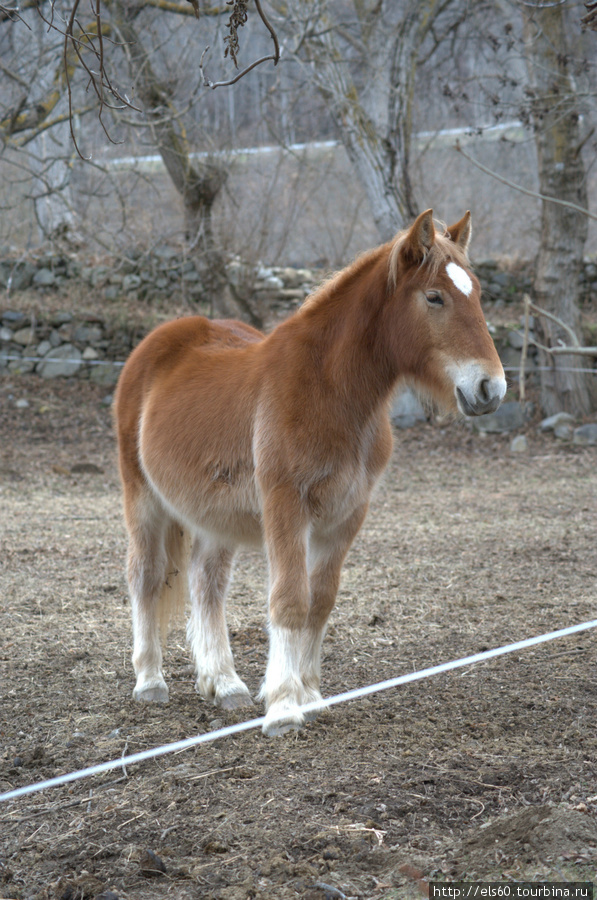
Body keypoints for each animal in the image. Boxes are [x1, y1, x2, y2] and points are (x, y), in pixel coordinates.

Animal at [112, 213, 502, 740]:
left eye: (476, 292)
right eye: (435, 297)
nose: (490, 388)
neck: (328, 389)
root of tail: (157, 343)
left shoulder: (346, 515)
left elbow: (321, 601)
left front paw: (311, 697)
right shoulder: (286, 506)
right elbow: (290, 600)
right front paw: (282, 706)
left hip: (215, 517)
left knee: (206, 583)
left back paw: (224, 684)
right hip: (144, 499)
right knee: (146, 575)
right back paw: (150, 681)